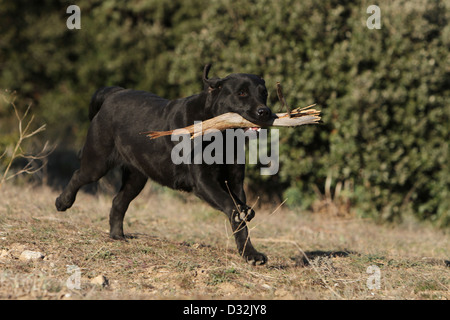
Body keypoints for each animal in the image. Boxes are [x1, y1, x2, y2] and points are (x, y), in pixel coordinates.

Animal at [54, 65, 272, 264]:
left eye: (264, 93)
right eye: (241, 93)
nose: (265, 111)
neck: (224, 137)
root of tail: (114, 93)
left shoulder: (235, 182)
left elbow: (240, 220)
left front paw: (251, 254)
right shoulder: (203, 181)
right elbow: (231, 206)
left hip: (136, 178)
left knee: (118, 202)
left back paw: (117, 236)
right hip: (98, 162)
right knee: (78, 175)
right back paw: (62, 202)